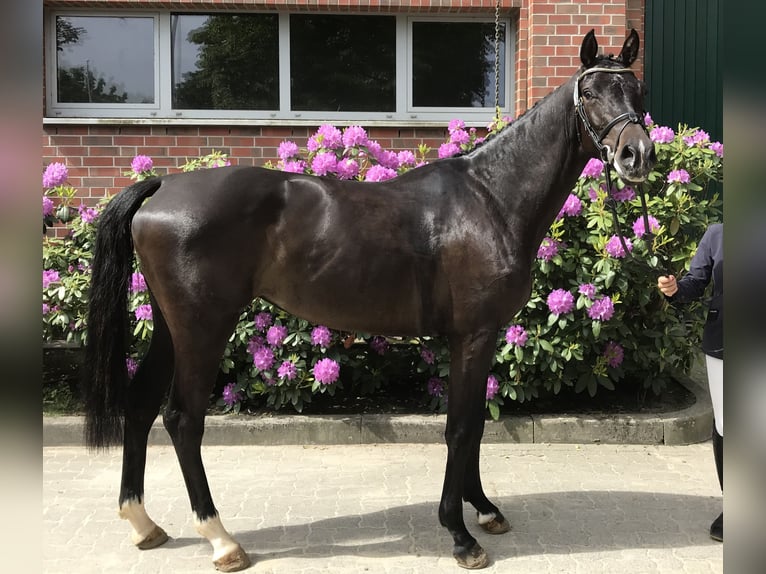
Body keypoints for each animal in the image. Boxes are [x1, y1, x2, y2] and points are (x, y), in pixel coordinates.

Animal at [85, 30, 660, 572]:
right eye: (590, 91)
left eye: (636, 90)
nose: (636, 154)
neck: (490, 199)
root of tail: (162, 187)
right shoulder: (472, 336)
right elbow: (461, 427)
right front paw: (460, 534)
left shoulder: (484, 335)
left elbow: (474, 424)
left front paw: (484, 509)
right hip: (203, 328)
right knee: (182, 419)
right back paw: (221, 539)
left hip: (171, 327)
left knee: (140, 405)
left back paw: (144, 524)